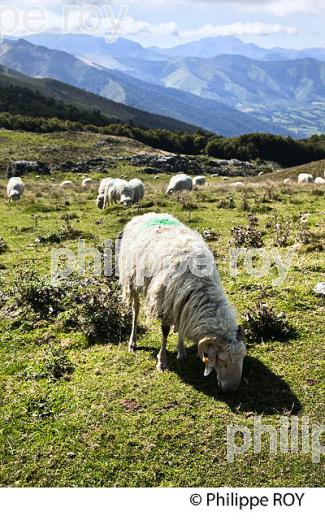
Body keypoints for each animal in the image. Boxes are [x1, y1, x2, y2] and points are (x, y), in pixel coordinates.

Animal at [119, 213, 246, 392]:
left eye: (242, 358)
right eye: (221, 360)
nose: (231, 389)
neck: (201, 284)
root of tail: (147, 215)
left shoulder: (182, 302)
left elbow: (181, 325)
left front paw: (181, 350)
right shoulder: (165, 301)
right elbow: (165, 331)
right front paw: (162, 361)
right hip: (131, 278)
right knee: (135, 310)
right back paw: (133, 342)